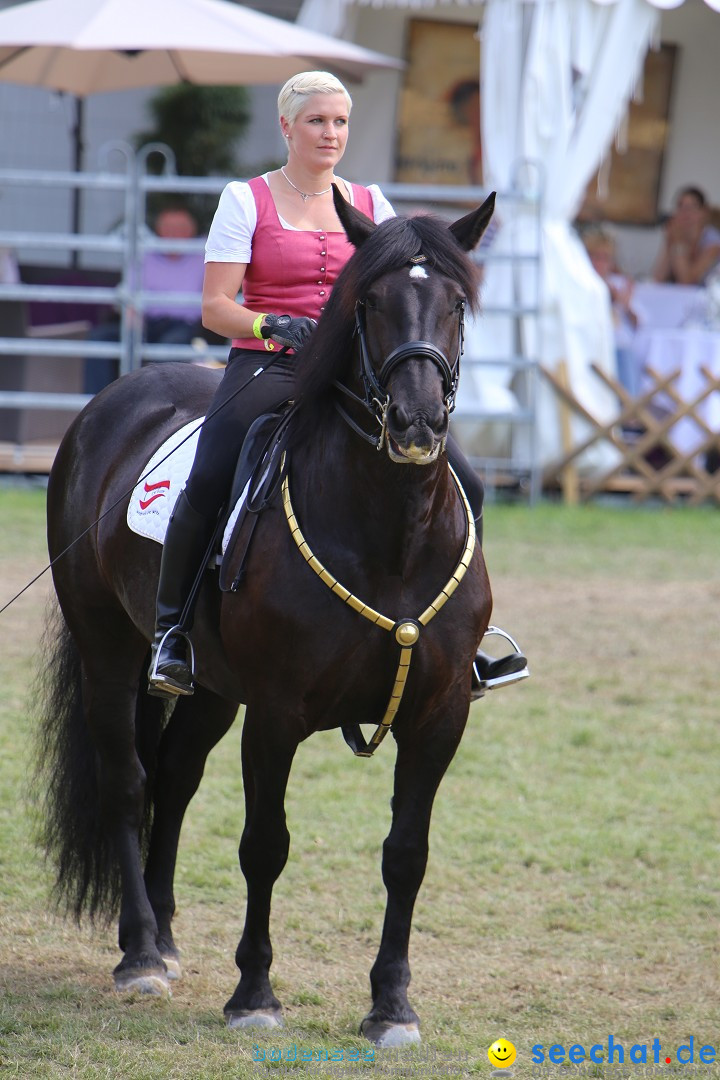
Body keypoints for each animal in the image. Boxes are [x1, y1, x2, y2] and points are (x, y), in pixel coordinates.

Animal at [36, 192, 498, 1045]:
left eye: (456, 303)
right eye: (369, 302)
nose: (416, 422)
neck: (389, 535)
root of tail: (119, 397)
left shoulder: (440, 714)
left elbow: (406, 853)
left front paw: (391, 1005)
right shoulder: (277, 714)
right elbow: (265, 845)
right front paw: (254, 994)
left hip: (214, 690)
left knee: (175, 776)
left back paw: (166, 935)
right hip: (109, 653)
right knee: (128, 780)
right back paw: (141, 953)